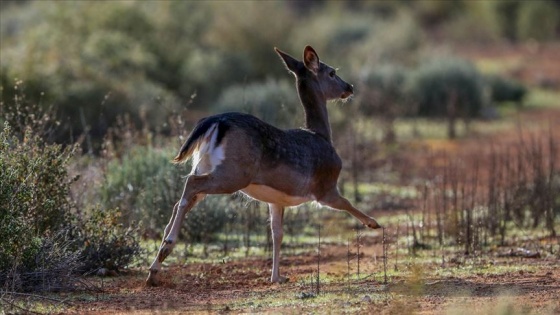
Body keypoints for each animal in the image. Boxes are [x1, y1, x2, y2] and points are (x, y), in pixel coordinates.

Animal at [144, 45, 382, 288]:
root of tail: (215, 122)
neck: (322, 136)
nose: (349, 87)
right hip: (234, 174)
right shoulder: (324, 188)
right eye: (332, 72)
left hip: (205, 165)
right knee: (191, 184)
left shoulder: (276, 200)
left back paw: (154, 268)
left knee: (181, 198)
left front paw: (276, 276)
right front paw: (374, 223)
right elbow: (346, 203)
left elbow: (277, 233)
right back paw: (167, 245)